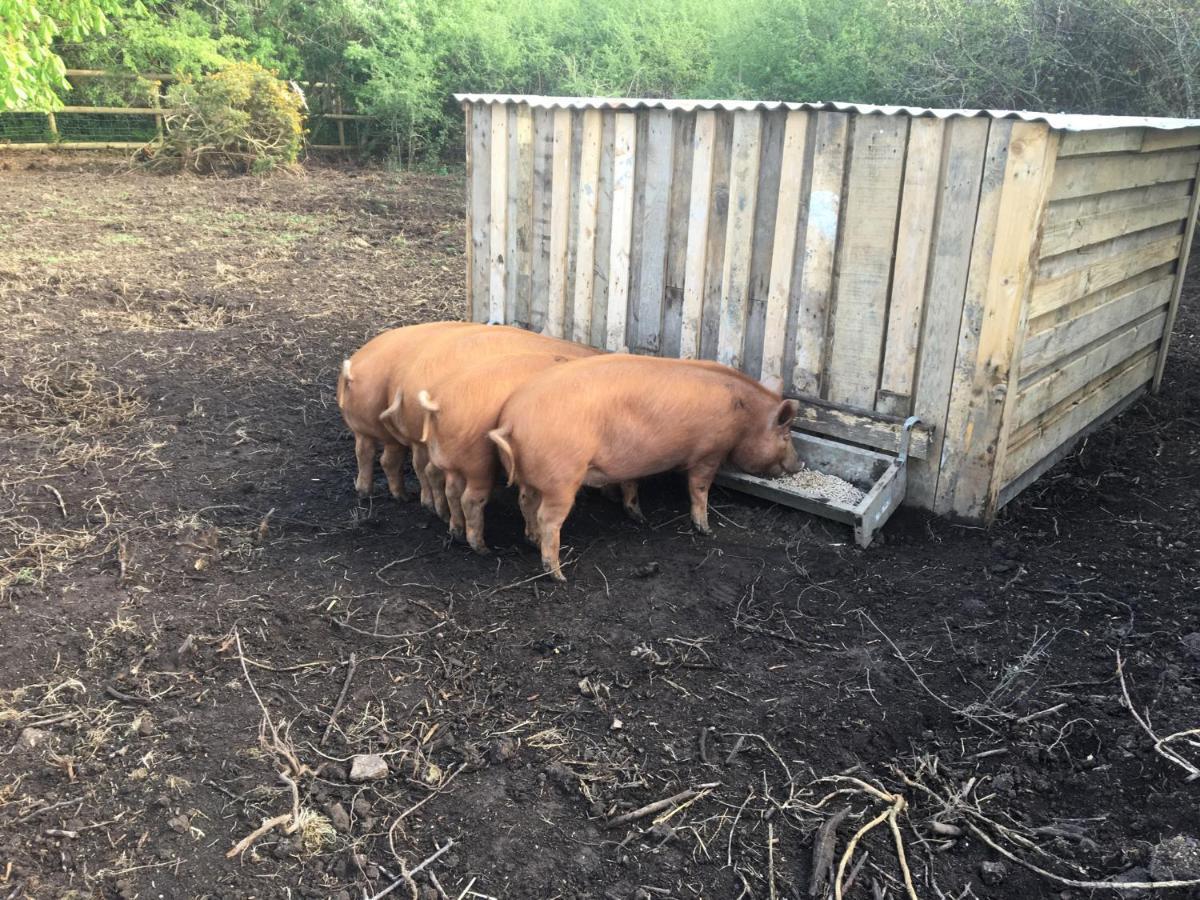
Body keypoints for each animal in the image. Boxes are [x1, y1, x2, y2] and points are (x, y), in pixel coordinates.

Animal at [482, 355, 801, 580]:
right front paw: (706, 530)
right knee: (548, 519)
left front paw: (640, 518)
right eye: (786, 435)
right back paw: (558, 575)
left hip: (534, 478)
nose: (800, 464)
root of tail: (513, 419)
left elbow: (631, 483)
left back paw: (532, 540)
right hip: (563, 478)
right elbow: (699, 489)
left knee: (526, 502)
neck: (744, 415)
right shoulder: (709, 452)